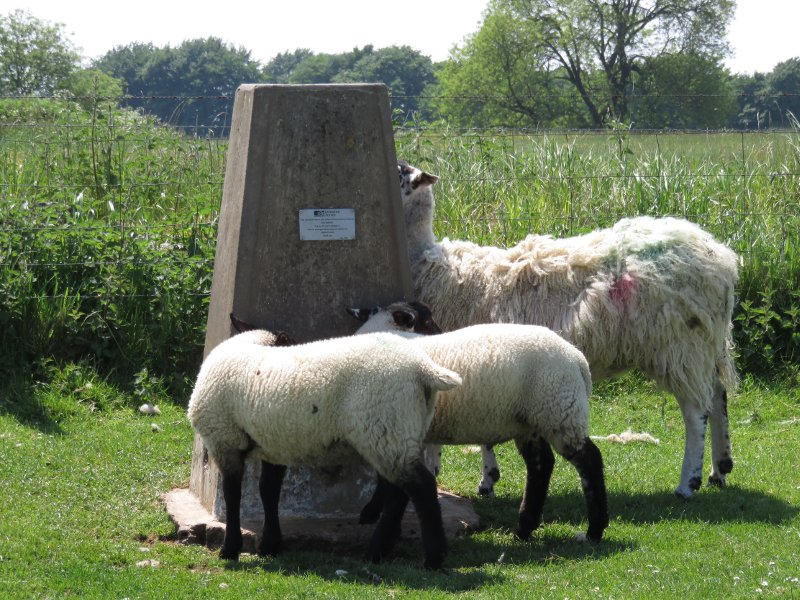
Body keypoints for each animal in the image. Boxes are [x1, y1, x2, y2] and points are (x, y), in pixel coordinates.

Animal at [188, 328, 462, 568]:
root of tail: (423, 368)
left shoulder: (224, 441)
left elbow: (232, 496)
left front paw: (230, 549)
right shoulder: (274, 445)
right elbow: (269, 492)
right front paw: (270, 545)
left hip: (387, 429)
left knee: (419, 489)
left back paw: (427, 558)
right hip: (397, 435)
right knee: (400, 493)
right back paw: (385, 551)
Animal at [348, 302, 608, 540]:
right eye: (428, 321)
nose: (442, 331)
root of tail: (577, 358)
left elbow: (386, 480)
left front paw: (373, 513)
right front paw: (372, 512)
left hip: (559, 409)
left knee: (589, 460)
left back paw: (594, 529)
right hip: (533, 420)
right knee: (541, 464)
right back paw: (524, 528)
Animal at [396, 158, 740, 496]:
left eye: (400, 173)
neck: (428, 263)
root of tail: (721, 260)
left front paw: (447, 469)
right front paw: (487, 477)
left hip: (678, 343)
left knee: (696, 411)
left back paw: (688, 482)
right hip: (704, 342)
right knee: (717, 395)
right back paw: (720, 468)